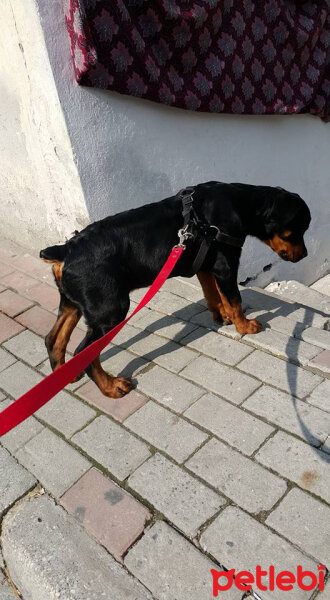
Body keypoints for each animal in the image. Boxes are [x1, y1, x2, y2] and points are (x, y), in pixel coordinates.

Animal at [40, 183, 310, 398]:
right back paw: (111, 387)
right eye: (298, 230)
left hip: (74, 303)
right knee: (84, 352)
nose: (305, 255)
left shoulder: (206, 265)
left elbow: (214, 294)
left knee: (54, 338)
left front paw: (222, 316)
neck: (242, 204)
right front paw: (244, 326)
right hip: (109, 311)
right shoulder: (225, 265)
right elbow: (234, 298)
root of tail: (65, 250)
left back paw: (64, 375)